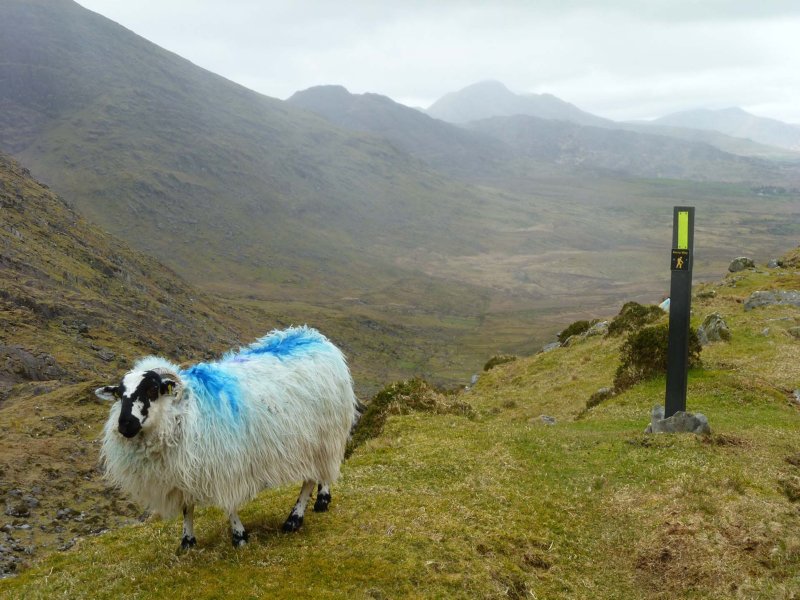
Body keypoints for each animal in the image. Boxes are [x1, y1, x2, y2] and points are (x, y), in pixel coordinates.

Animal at [95, 326, 358, 550]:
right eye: (119, 394)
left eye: (151, 389)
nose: (125, 425)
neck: (187, 411)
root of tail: (315, 337)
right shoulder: (182, 471)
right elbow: (187, 508)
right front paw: (187, 542)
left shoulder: (226, 466)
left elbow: (230, 505)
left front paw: (239, 536)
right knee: (321, 473)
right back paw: (322, 499)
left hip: (322, 437)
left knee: (312, 478)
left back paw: (296, 517)